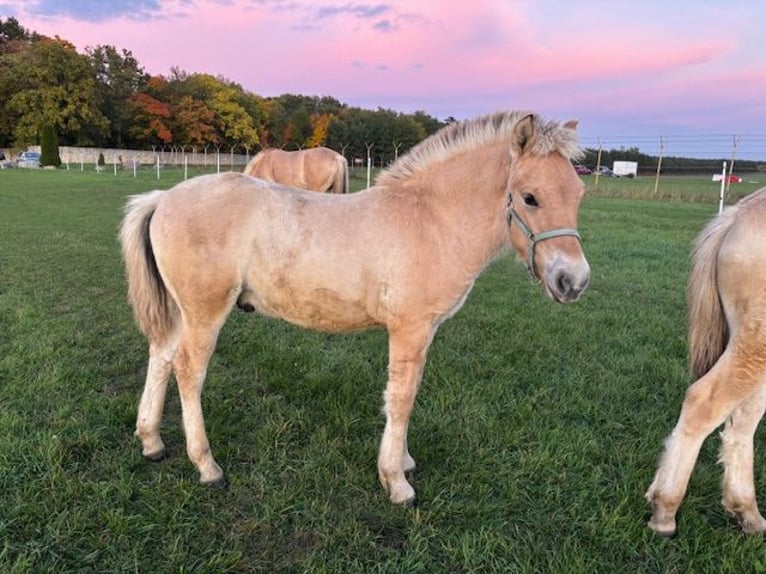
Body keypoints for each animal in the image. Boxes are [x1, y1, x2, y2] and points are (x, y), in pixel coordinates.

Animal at [119, 111, 590, 505]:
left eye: (579, 193)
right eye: (529, 197)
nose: (574, 281)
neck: (431, 220)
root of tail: (163, 197)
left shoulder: (425, 331)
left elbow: (408, 391)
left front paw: (403, 463)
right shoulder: (409, 329)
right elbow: (401, 397)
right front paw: (396, 482)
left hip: (181, 310)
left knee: (161, 356)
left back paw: (151, 442)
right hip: (205, 311)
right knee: (188, 370)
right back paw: (207, 466)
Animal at [646, 186, 766, 535]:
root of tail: (736, 215)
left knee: (742, 419)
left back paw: (748, 514)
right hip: (755, 345)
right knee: (706, 403)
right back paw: (664, 511)